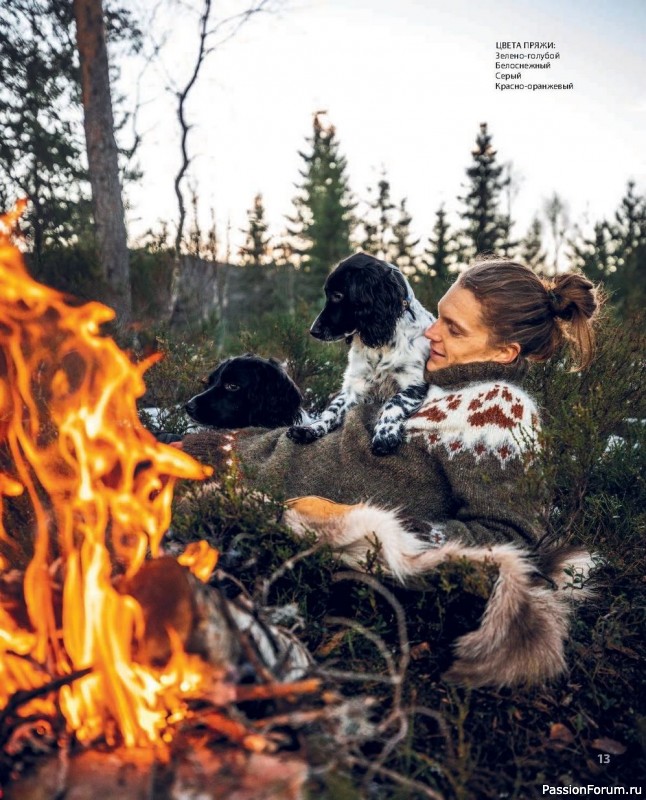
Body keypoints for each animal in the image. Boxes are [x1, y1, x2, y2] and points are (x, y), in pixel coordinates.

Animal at [288, 255, 436, 456]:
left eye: (338, 295)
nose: (313, 331)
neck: (380, 342)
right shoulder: (355, 387)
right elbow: (332, 410)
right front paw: (311, 429)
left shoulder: (415, 383)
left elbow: (394, 402)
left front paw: (385, 434)